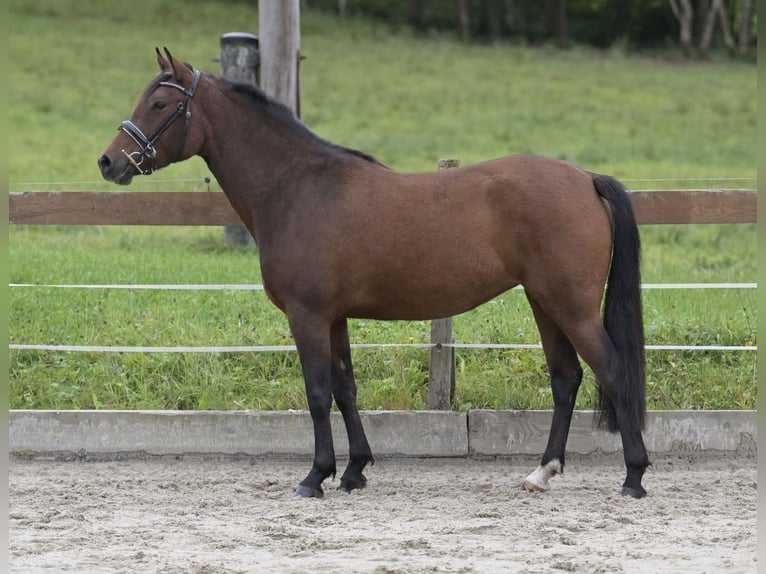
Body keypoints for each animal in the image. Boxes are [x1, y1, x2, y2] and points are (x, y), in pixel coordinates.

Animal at [94, 49, 648, 500]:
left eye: (159, 105)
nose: (108, 162)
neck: (297, 187)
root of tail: (585, 179)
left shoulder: (307, 316)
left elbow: (318, 393)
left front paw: (315, 477)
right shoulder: (334, 318)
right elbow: (345, 389)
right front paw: (354, 470)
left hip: (571, 307)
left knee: (613, 371)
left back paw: (634, 477)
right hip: (544, 302)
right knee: (566, 378)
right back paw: (542, 472)